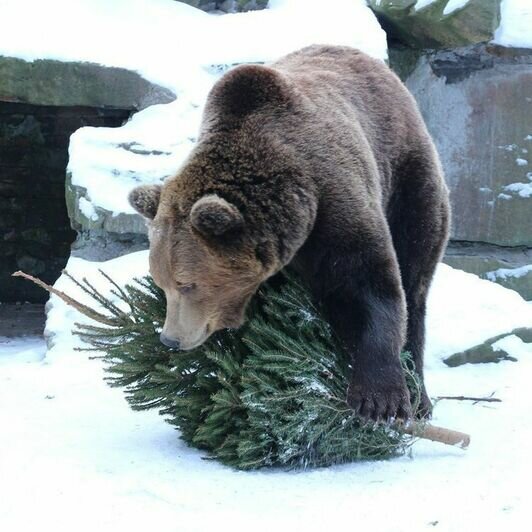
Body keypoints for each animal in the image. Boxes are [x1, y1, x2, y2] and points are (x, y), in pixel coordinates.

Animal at [129, 44, 448, 420]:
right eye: (162, 283)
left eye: (187, 284)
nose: (171, 339)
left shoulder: (334, 199)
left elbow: (369, 281)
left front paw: (379, 399)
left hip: (409, 177)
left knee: (415, 276)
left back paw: (420, 396)